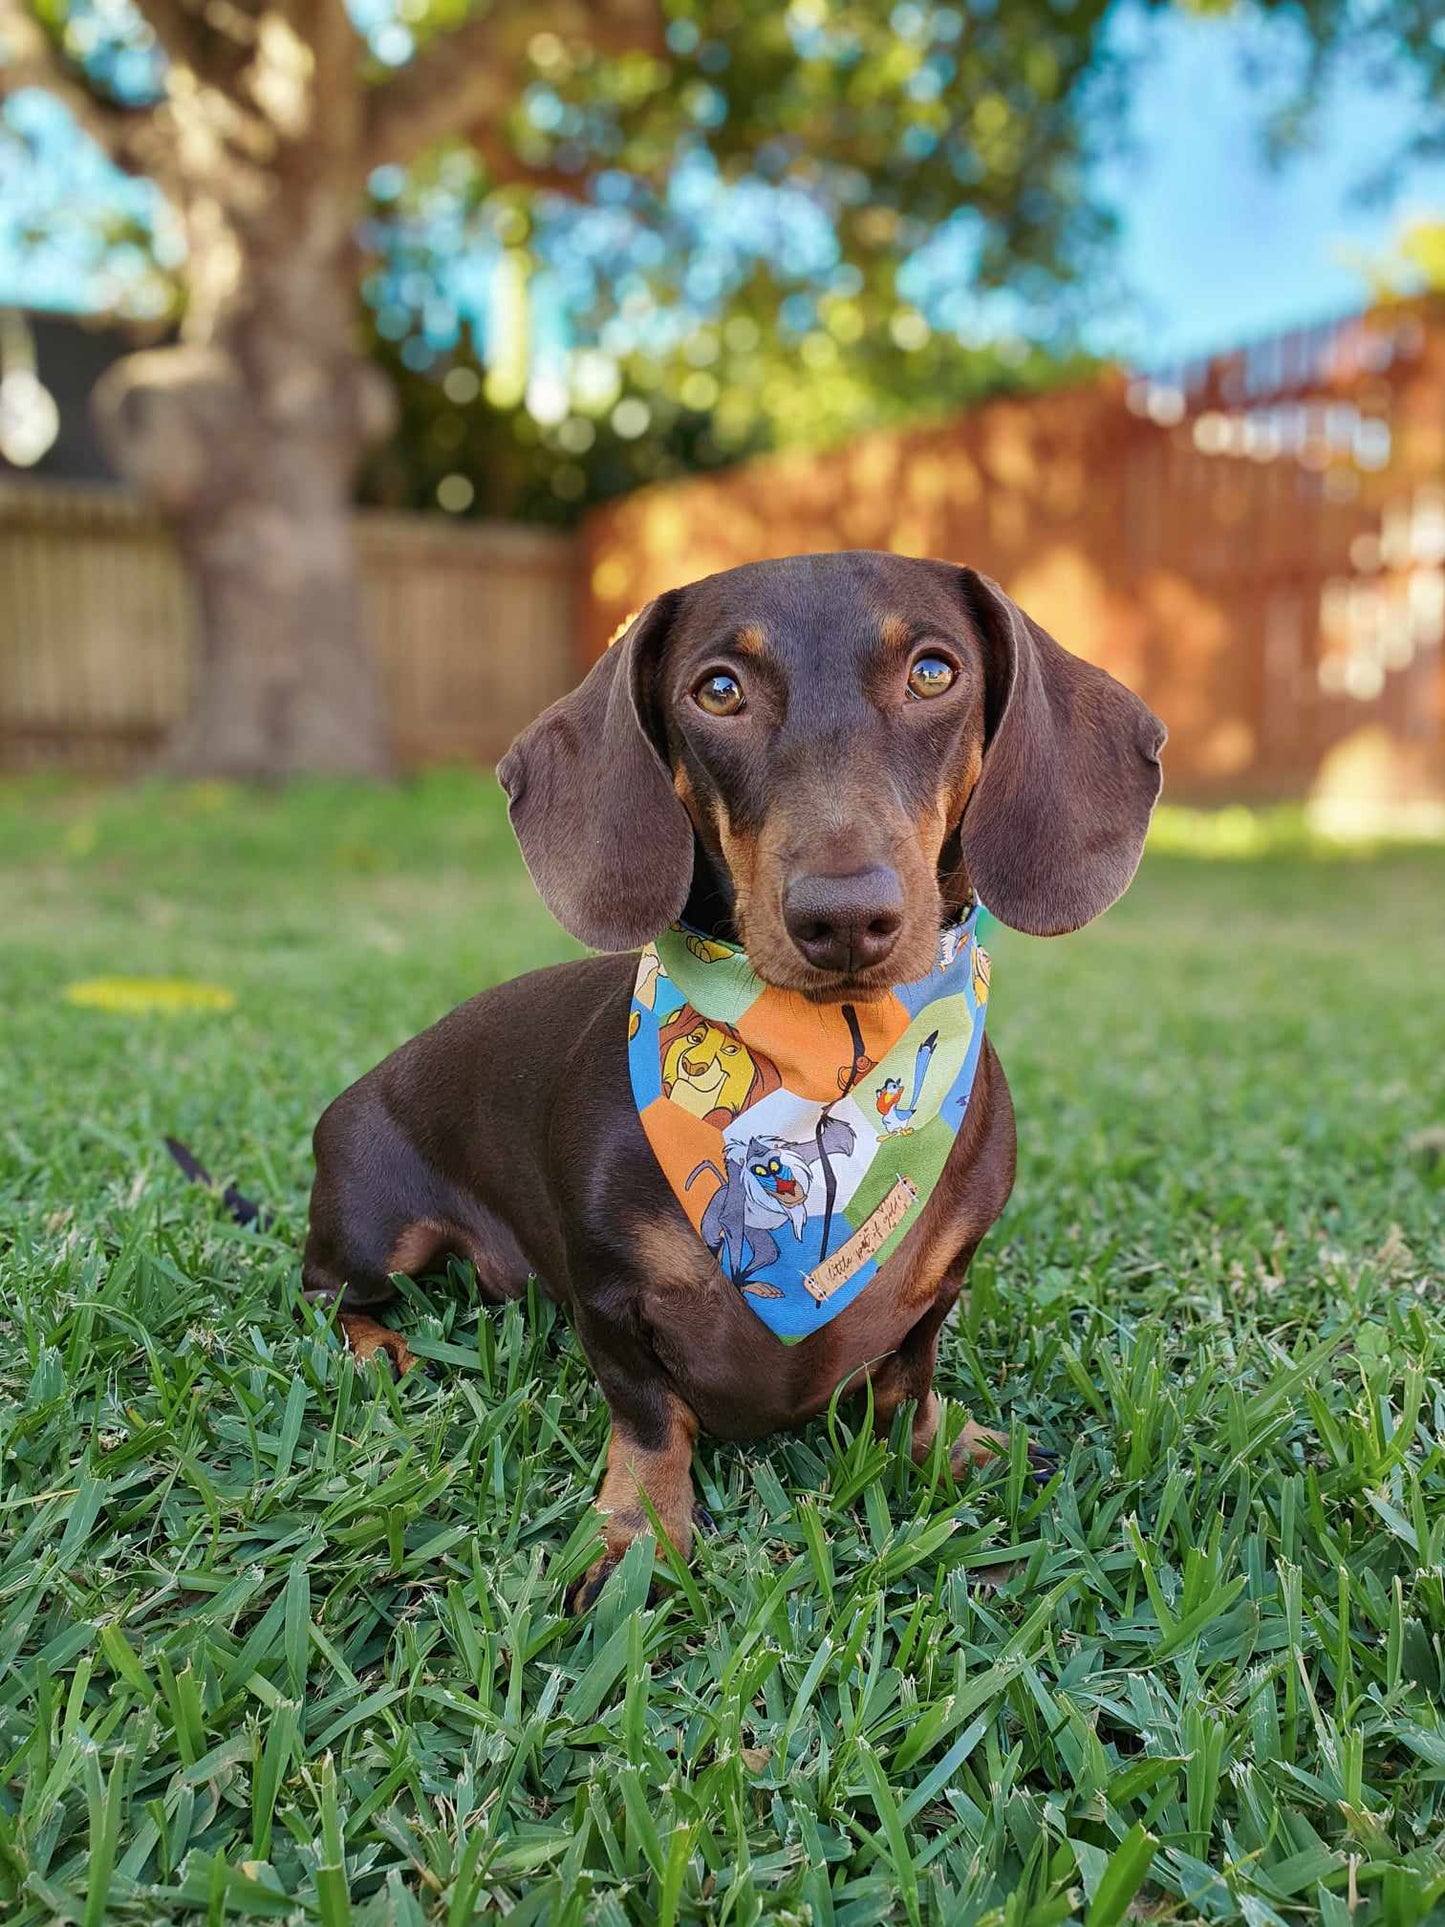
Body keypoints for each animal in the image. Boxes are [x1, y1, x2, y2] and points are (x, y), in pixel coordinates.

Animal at [306, 551, 1163, 1603]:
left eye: (933, 671)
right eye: (718, 690)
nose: (845, 916)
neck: (822, 1051)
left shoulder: (942, 1282)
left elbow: (908, 1376)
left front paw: (948, 1443)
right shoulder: (607, 1300)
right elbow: (648, 1417)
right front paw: (636, 1531)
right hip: (378, 1237)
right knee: (328, 1291)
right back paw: (381, 1349)